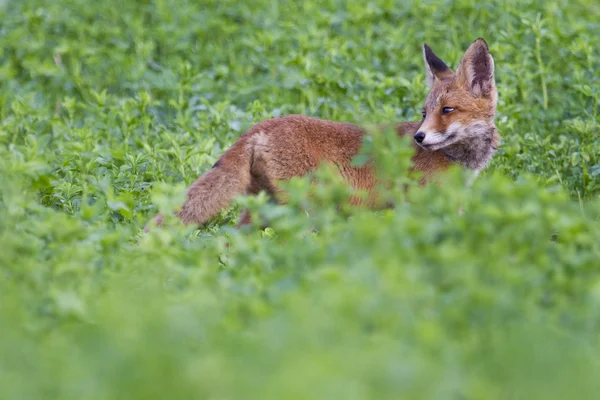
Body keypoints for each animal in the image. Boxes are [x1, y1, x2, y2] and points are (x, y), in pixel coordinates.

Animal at [146, 38, 502, 231]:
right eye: (425, 113)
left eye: (447, 110)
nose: (419, 137)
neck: (459, 161)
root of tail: (260, 126)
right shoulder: (426, 206)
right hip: (304, 212)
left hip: (262, 210)